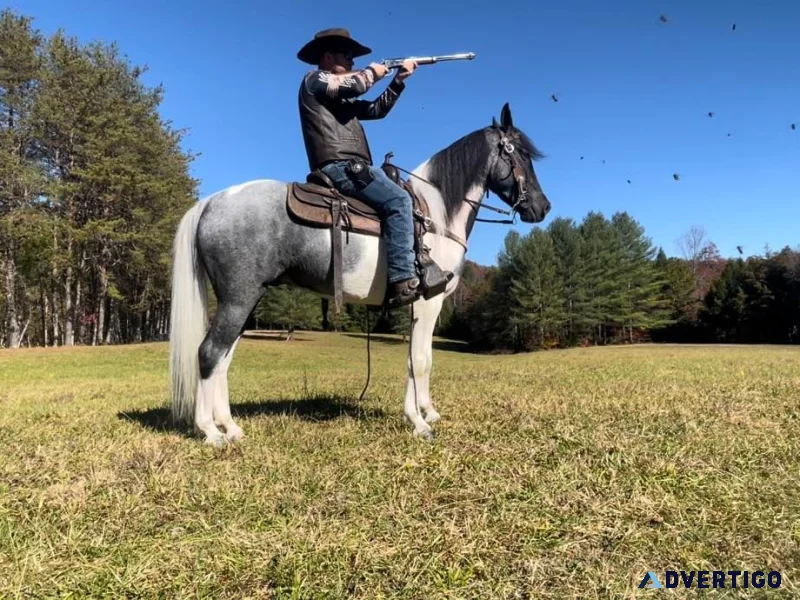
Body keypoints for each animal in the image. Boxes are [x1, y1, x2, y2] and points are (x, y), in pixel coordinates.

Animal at [168, 102, 551, 446]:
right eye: (520, 154)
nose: (543, 208)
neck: (435, 216)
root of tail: (211, 202)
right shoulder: (427, 301)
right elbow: (419, 361)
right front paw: (418, 423)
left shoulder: (426, 305)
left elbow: (422, 359)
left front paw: (427, 412)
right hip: (239, 297)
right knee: (209, 353)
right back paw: (211, 432)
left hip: (247, 300)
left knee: (223, 357)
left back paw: (231, 427)